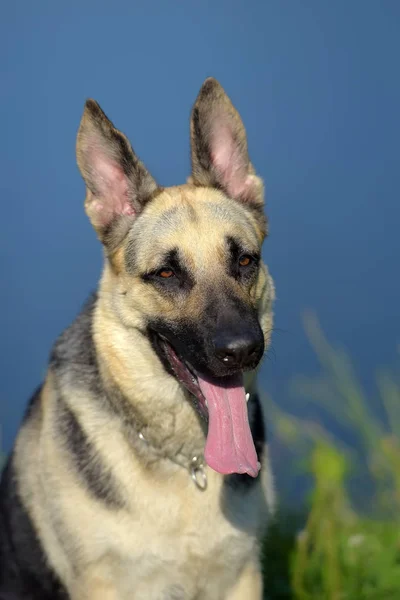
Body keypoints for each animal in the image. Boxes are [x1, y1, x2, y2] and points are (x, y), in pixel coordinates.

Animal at [0, 79, 276, 600]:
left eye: (245, 261)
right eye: (167, 274)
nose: (242, 350)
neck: (187, 461)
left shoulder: (242, 577)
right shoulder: (105, 584)